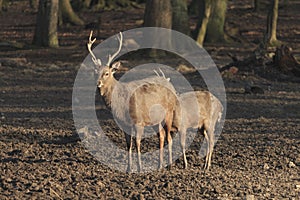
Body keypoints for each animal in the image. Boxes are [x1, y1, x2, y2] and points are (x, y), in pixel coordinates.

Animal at [88, 31, 179, 172]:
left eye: (107, 73)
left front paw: (140, 168)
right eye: (95, 72)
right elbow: (128, 145)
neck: (121, 105)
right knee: (161, 136)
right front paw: (129, 168)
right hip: (155, 119)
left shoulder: (139, 121)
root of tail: (171, 85)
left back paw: (169, 165)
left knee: (169, 137)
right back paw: (159, 165)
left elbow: (137, 143)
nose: (98, 83)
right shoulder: (124, 124)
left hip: (169, 112)